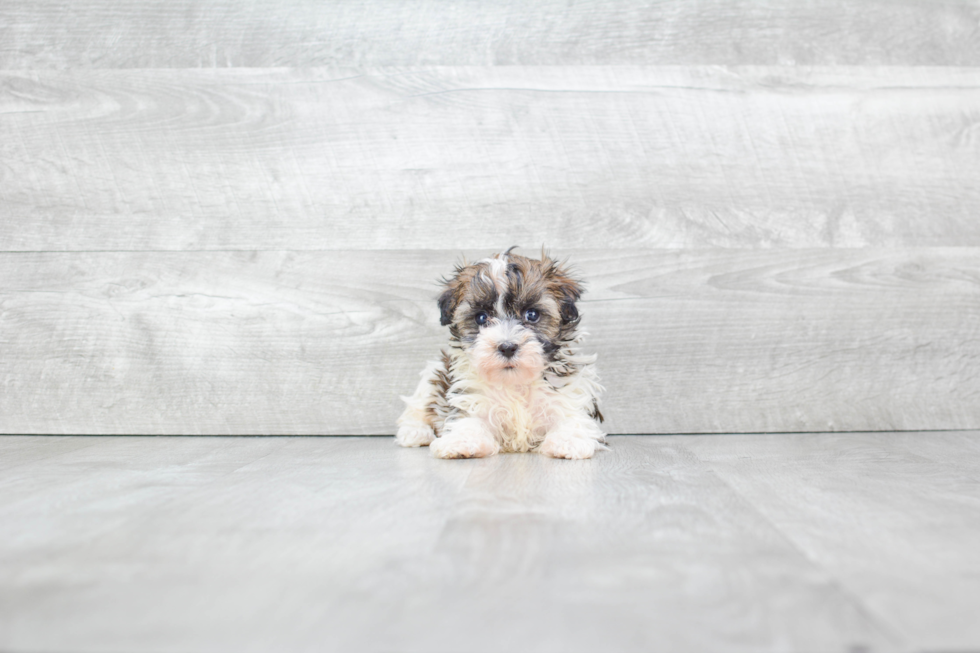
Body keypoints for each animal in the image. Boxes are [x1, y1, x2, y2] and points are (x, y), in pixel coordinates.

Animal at [394, 246, 600, 458]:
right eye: (481, 317)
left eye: (532, 314)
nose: (507, 347)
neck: (514, 383)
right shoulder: (470, 397)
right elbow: (468, 419)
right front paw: (462, 441)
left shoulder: (566, 394)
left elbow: (570, 416)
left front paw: (568, 441)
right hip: (432, 376)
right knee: (417, 407)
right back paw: (416, 432)